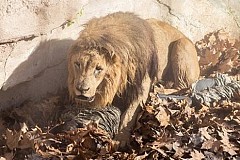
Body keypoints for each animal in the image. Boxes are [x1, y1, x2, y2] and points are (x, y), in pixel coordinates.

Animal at [66, 11, 200, 148]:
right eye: (77, 64)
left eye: (98, 68)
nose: (81, 89)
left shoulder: (142, 87)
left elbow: (129, 114)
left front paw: (121, 139)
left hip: (181, 44)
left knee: (184, 87)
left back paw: (159, 89)